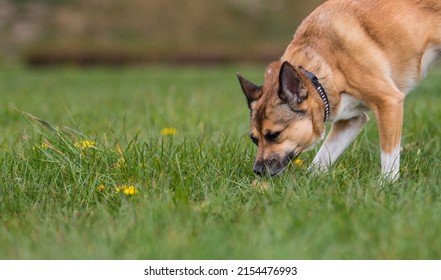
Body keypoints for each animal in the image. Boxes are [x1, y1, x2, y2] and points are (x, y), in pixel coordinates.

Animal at [237, 0, 440, 182]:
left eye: (274, 135)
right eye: (254, 139)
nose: (257, 171)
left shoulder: (389, 102)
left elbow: (388, 155)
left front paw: (387, 184)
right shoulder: (351, 121)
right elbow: (322, 157)